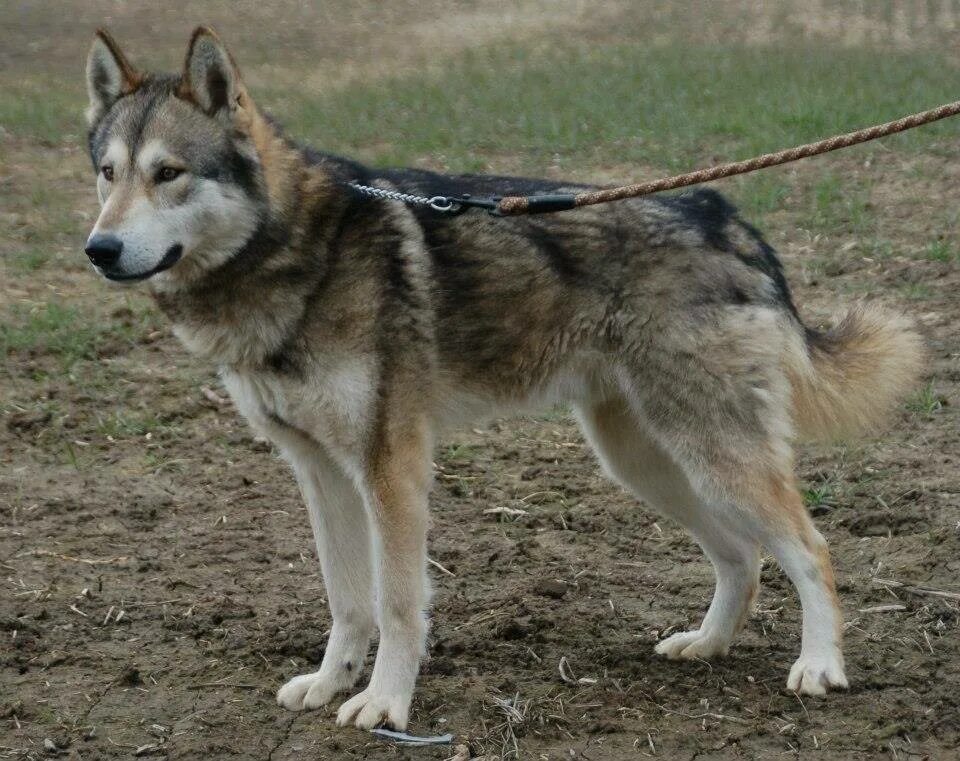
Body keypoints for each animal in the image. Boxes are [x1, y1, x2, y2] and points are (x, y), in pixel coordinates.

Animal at [84, 28, 924, 732]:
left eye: (168, 173)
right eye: (107, 174)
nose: (99, 248)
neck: (296, 254)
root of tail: (722, 212)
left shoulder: (390, 468)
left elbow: (397, 603)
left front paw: (384, 703)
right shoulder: (318, 471)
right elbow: (347, 601)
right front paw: (329, 684)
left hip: (714, 458)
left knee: (810, 548)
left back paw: (819, 665)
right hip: (650, 463)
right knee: (741, 557)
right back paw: (707, 644)